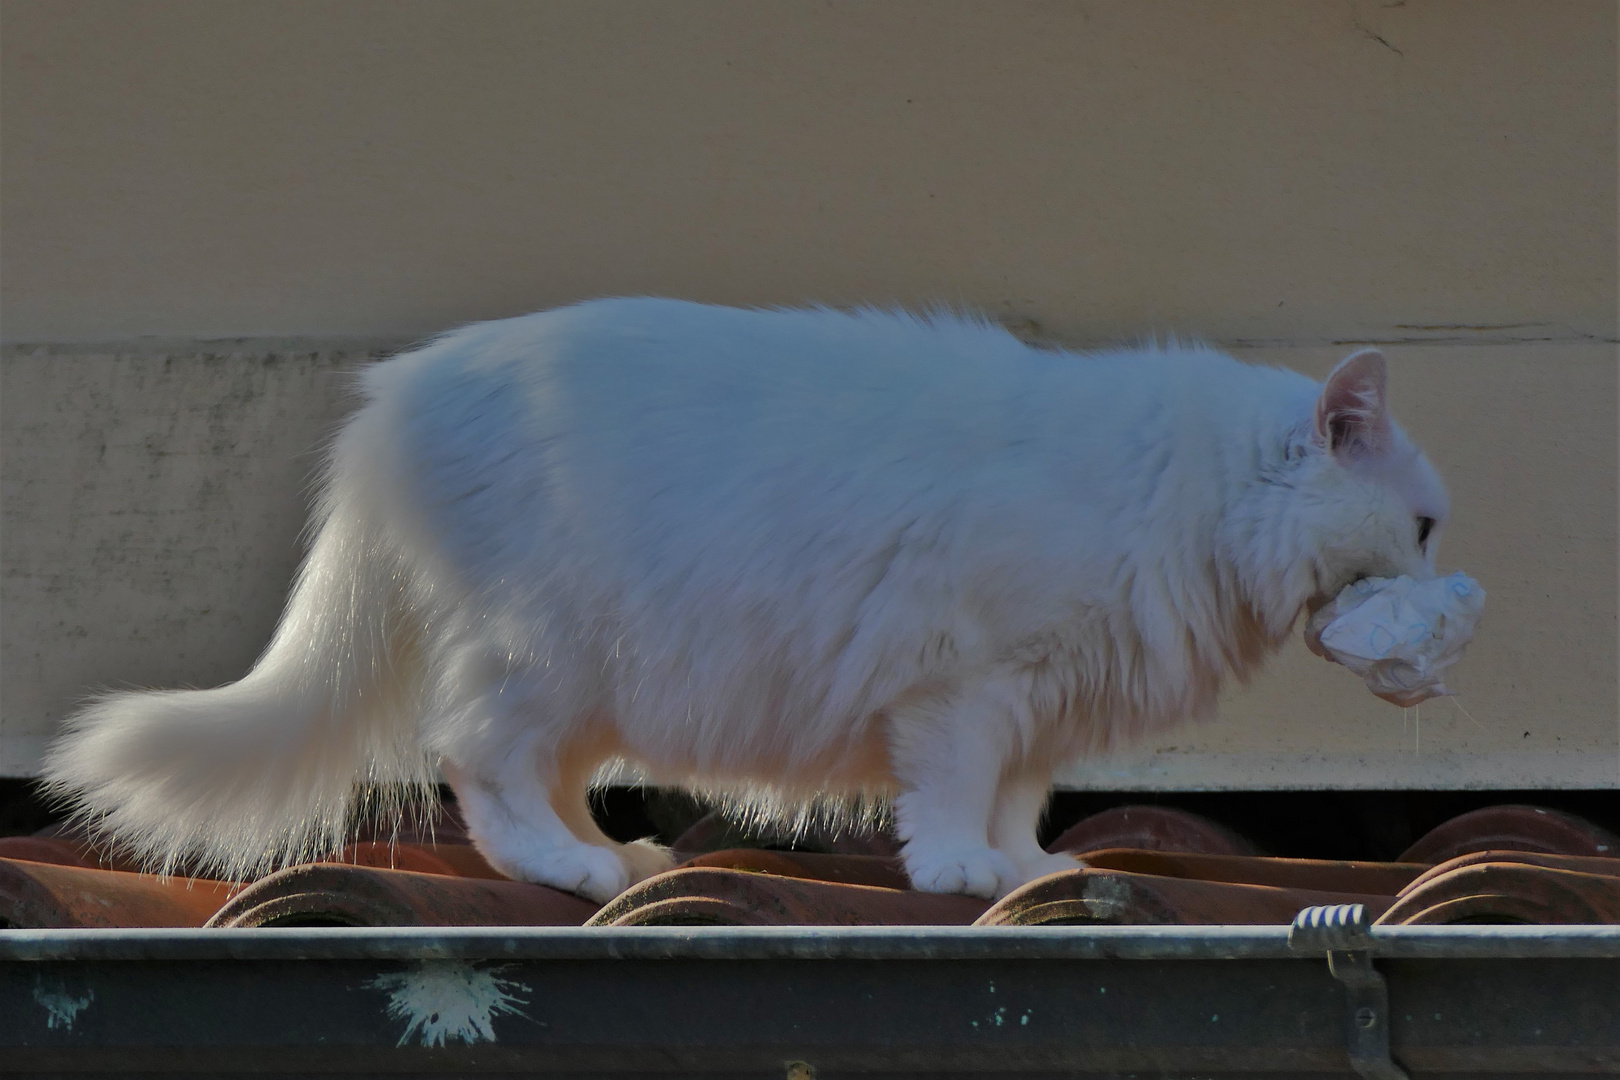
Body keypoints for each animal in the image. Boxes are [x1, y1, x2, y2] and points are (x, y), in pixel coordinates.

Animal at [44, 299, 1451, 900]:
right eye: (1427, 526)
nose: (1451, 568)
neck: (1183, 492)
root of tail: (393, 393)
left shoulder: (1038, 706)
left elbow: (1019, 804)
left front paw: (1025, 869)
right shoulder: (969, 686)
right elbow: (955, 794)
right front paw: (962, 873)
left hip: (595, 681)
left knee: (539, 773)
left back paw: (622, 856)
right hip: (548, 651)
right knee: (478, 764)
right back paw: (574, 870)